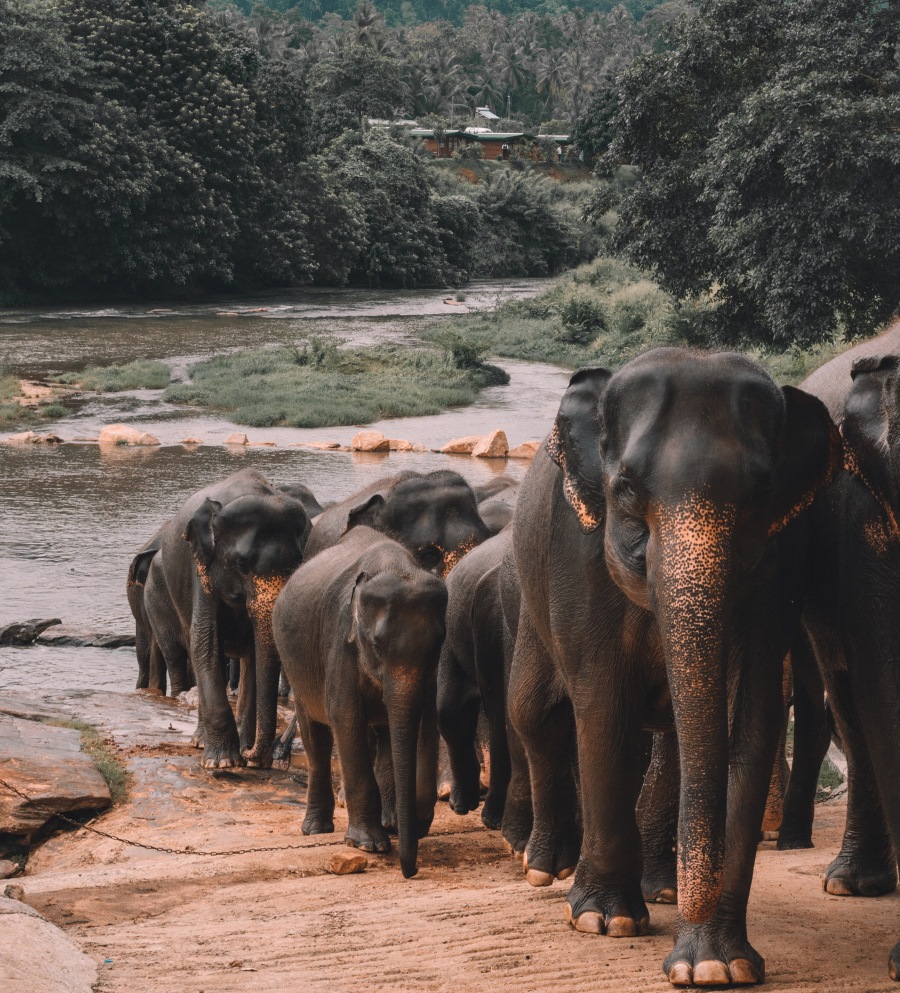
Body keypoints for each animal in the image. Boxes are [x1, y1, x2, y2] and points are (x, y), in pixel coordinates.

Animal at [149, 466, 312, 768]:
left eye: (297, 564)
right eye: (241, 564)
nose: (254, 756)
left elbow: (256, 654)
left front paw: (243, 754)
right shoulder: (201, 568)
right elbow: (205, 641)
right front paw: (222, 762)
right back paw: (201, 741)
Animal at [270, 528, 446, 876]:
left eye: (437, 644)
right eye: (376, 645)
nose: (410, 872)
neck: (395, 566)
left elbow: (423, 720)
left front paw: (410, 824)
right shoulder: (340, 640)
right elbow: (345, 717)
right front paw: (369, 845)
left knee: (383, 733)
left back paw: (388, 821)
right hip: (296, 665)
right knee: (316, 736)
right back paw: (316, 829)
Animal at [510, 348, 840, 984]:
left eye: (761, 492)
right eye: (625, 488)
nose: (695, 898)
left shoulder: (782, 564)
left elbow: (750, 721)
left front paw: (716, 966)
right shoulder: (576, 553)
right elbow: (602, 707)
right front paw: (605, 922)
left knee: (671, 740)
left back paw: (660, 889)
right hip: (530, 597)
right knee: (534, 712)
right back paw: (546, 870)